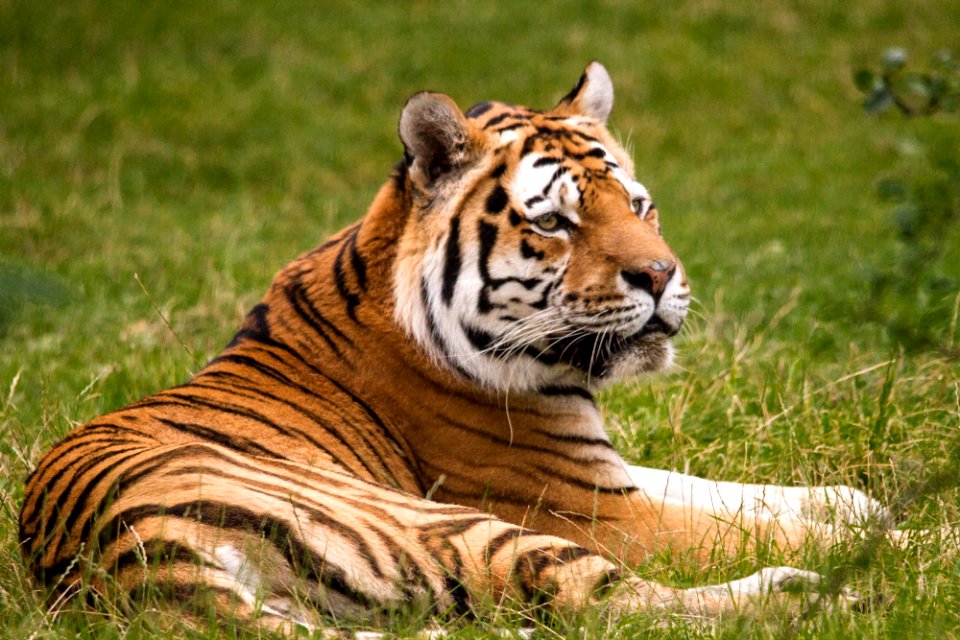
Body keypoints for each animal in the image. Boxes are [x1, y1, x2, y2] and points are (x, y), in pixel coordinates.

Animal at [20, 62, 908, 632]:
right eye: (555, 221)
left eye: (637, 205)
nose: (662, 276)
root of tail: (125, 559)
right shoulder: (587, 506)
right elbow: (747, 525)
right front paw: (902, 536)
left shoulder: (606, 472)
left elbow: (741, 493)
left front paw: (860, 503)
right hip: (454, 525)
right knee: (608, 604)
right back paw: (820, 595)